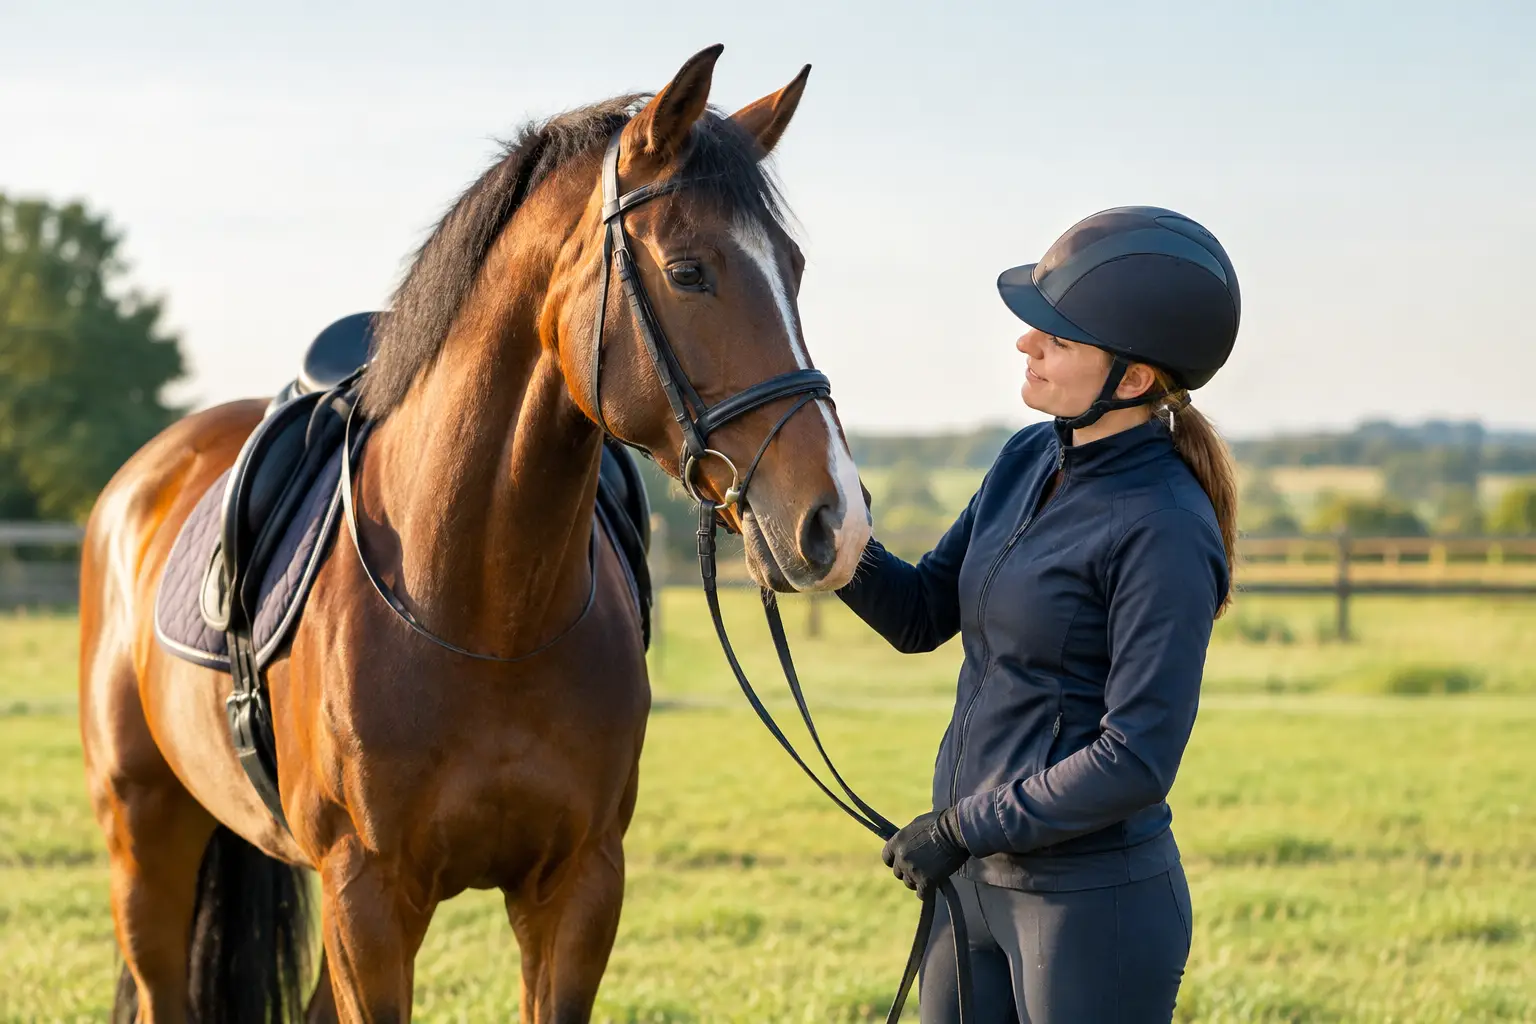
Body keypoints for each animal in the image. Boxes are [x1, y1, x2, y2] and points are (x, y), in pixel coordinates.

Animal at [78, 44, 870, 1023]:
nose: (838, 520)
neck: (483, 611)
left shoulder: (577, 888)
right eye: (689, 271)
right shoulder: (369, 901)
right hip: (142, 833)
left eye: (792, 268)